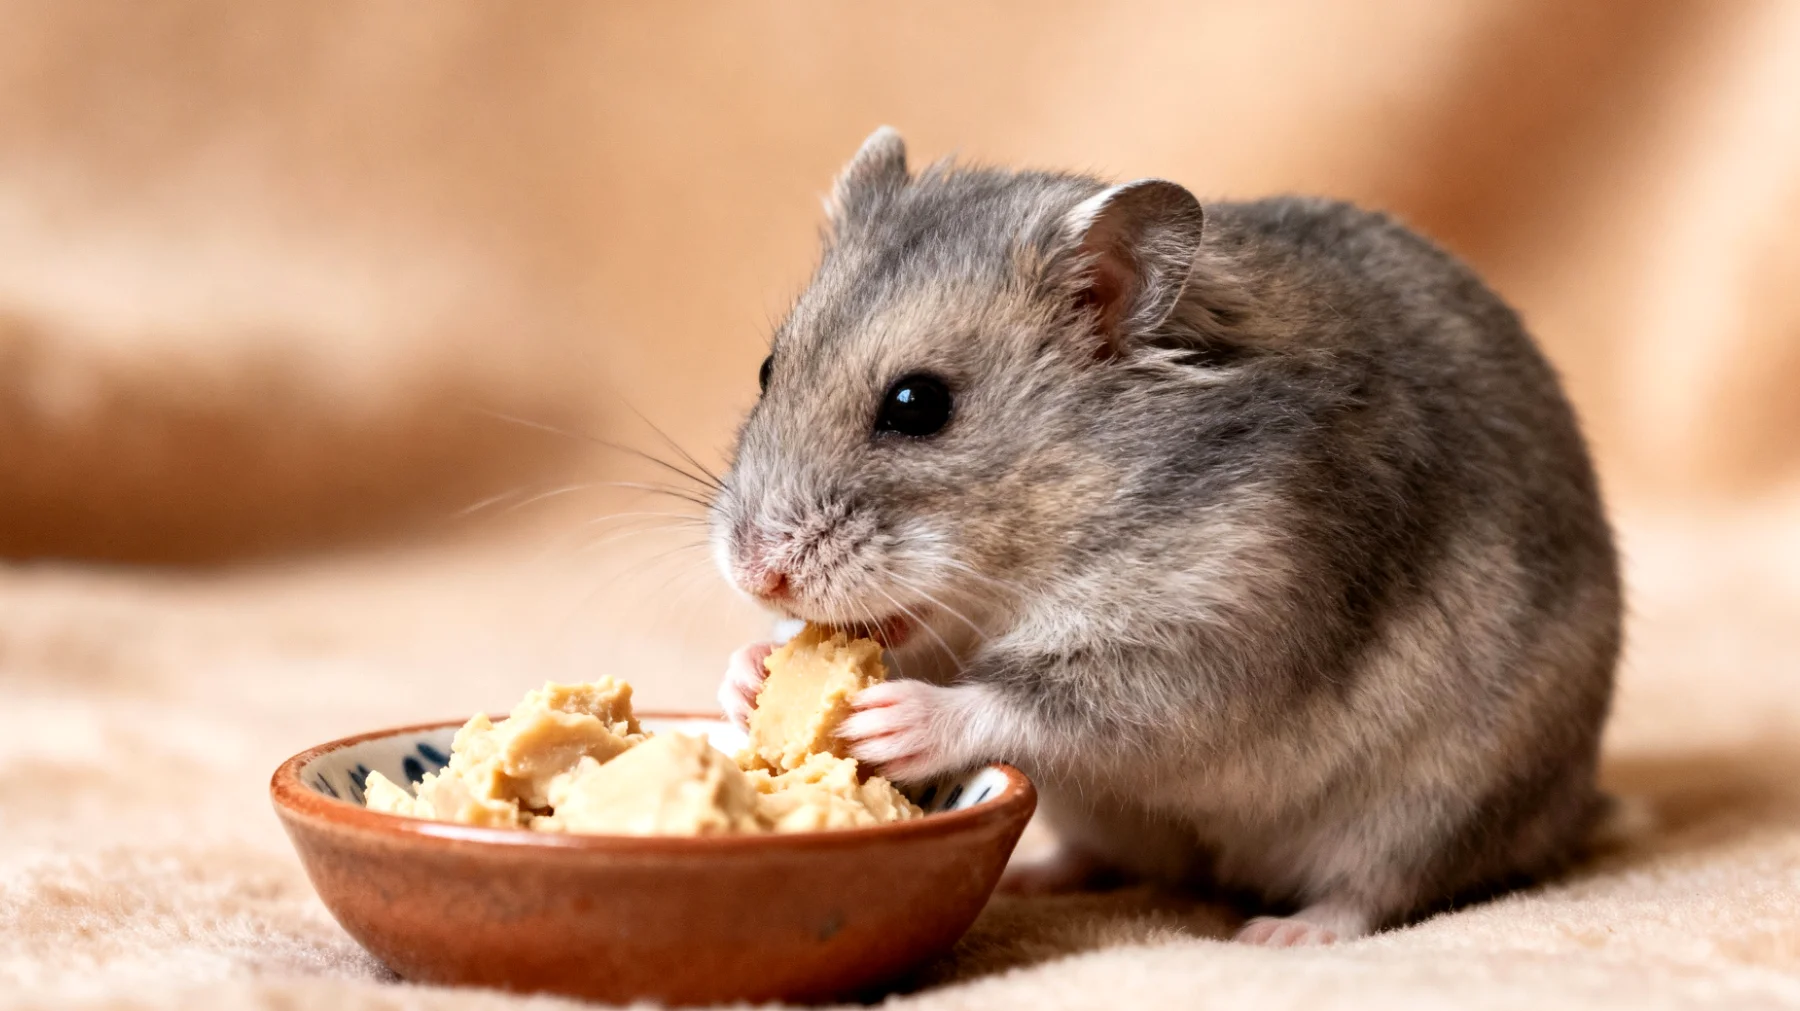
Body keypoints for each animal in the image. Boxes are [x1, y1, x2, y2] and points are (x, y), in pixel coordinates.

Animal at [709, 127, 1620, 946]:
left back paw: (1284, 934)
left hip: (1431, 806)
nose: (756, 573)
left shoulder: (1203, 634)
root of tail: (1574, 808)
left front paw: (890, 719)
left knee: (1380, 892)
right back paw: (1043, 877)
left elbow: (1032, 700)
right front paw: (749, 674)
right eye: (765, 369)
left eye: (917, 405)